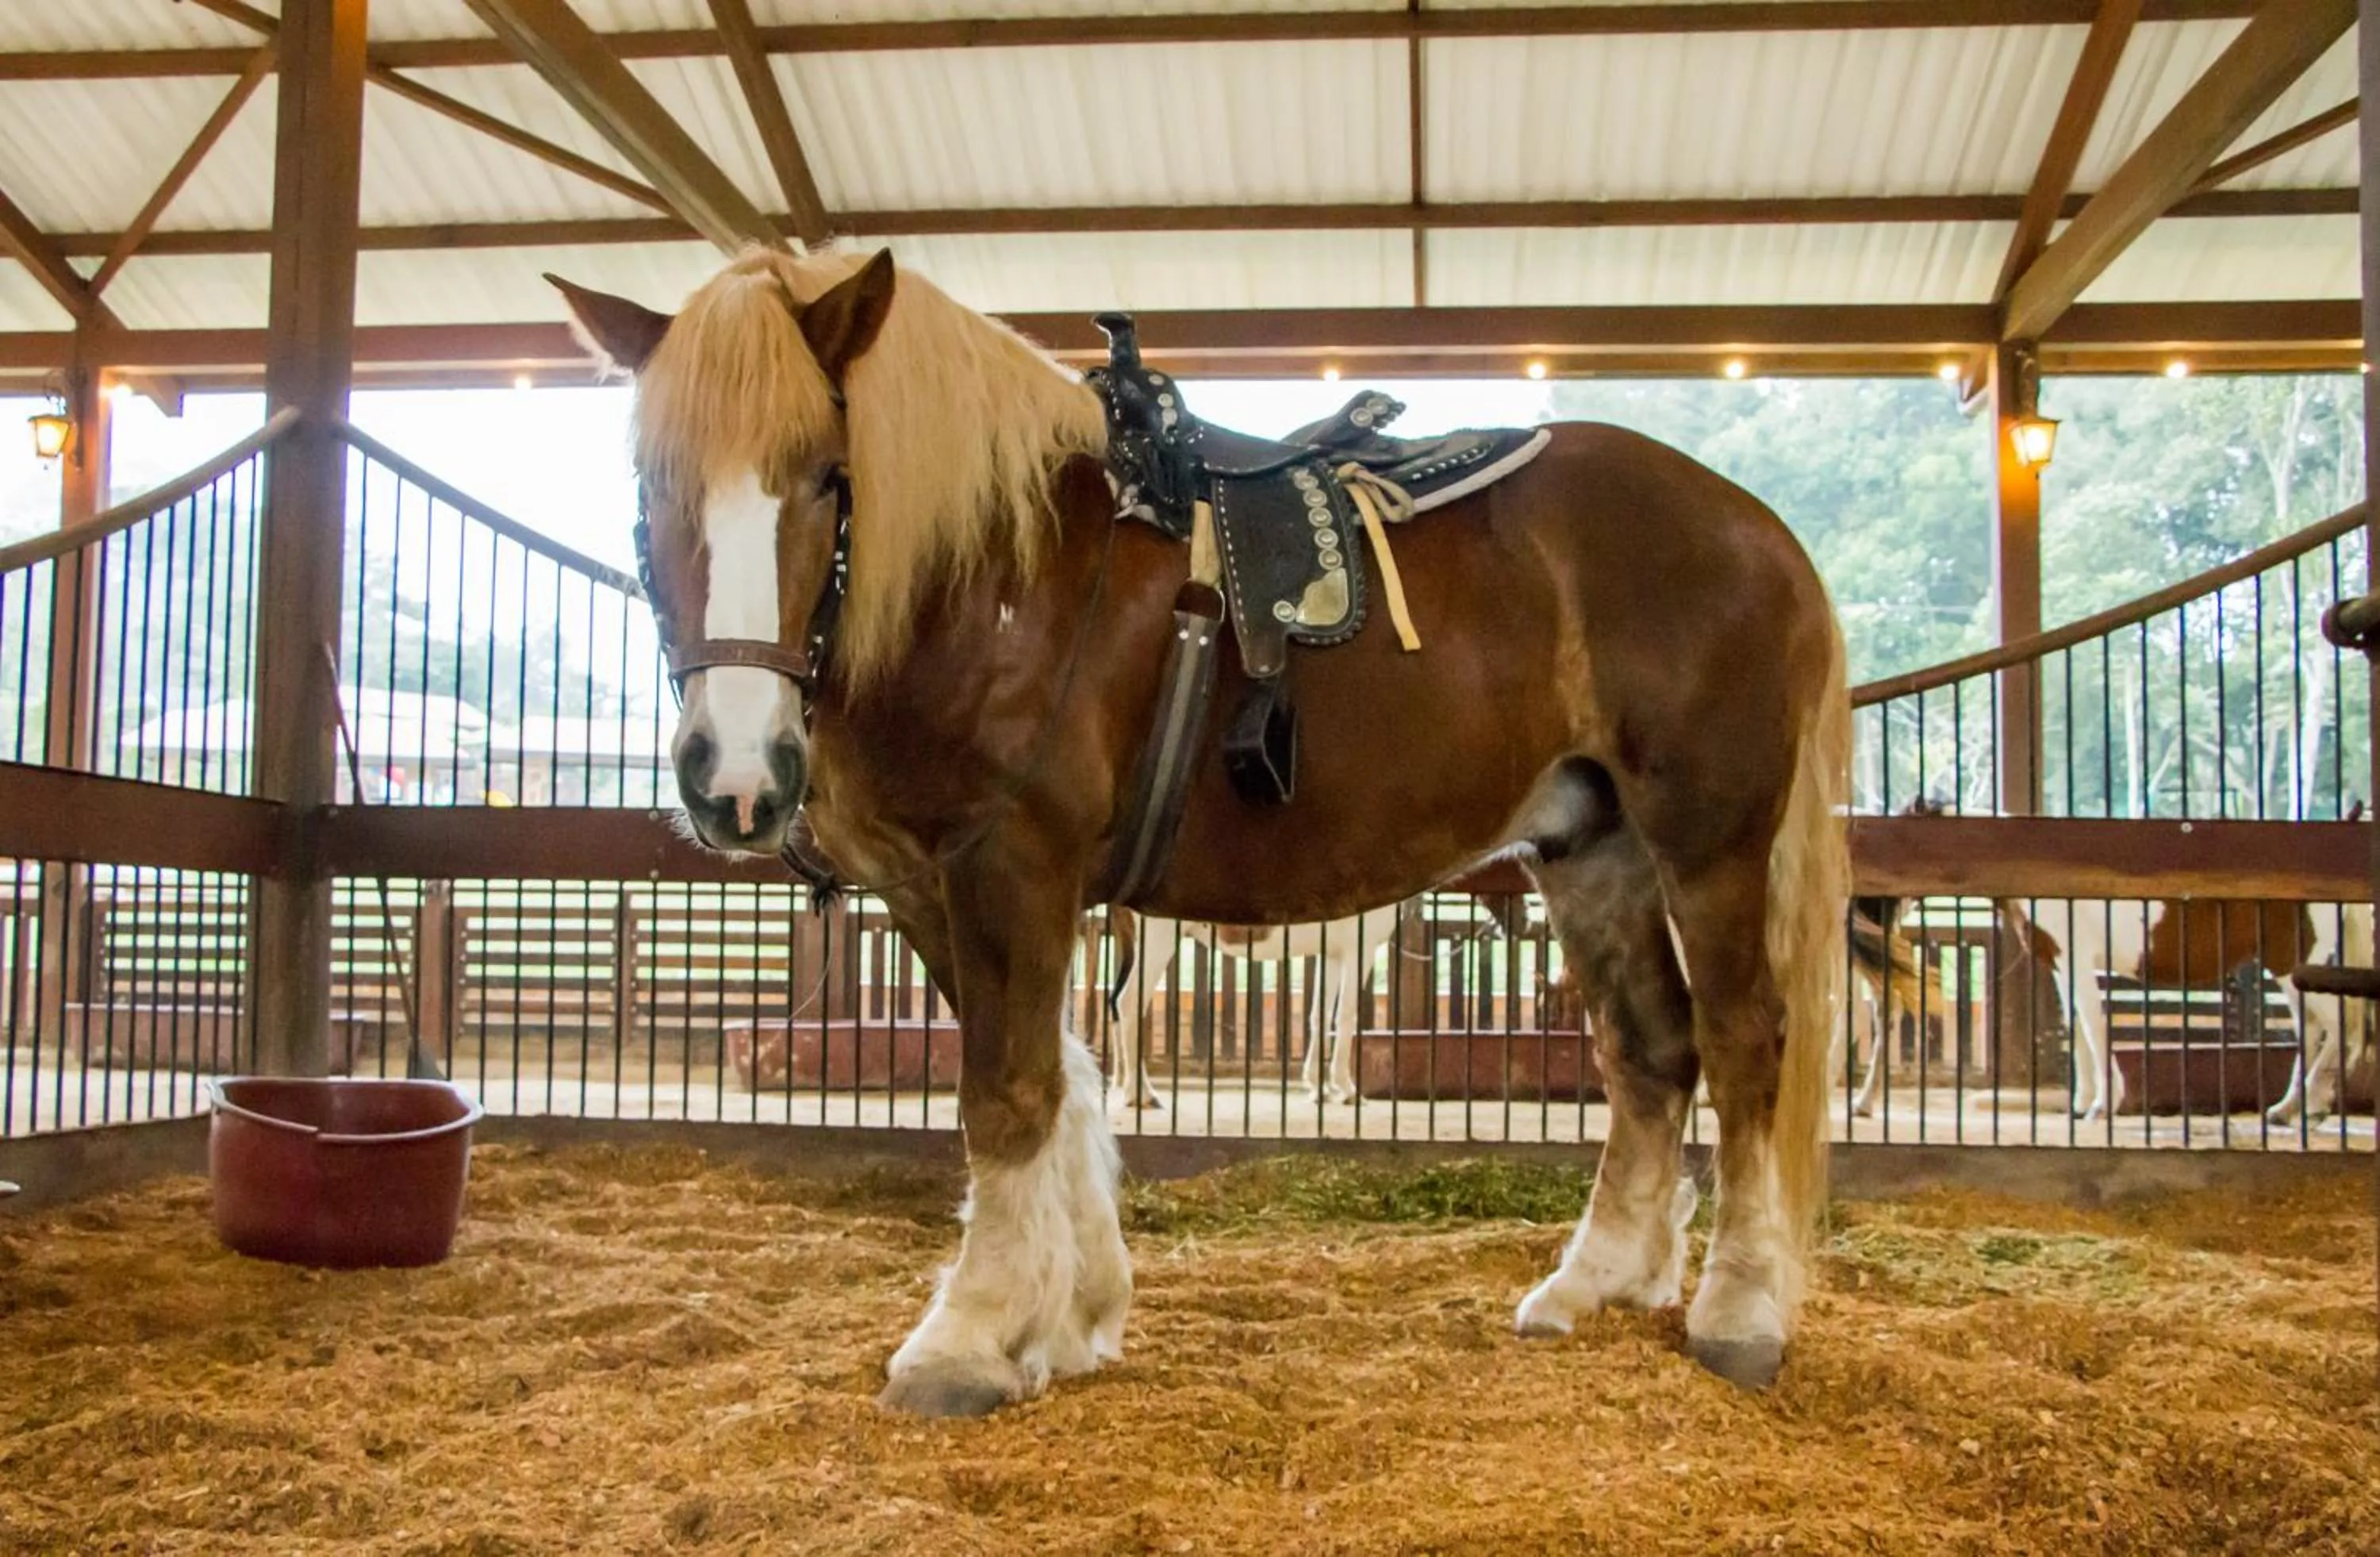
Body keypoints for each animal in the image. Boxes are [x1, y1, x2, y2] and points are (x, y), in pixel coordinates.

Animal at [1096, 904, 1405, 1107]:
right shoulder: (1358, 949)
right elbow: (1346, 1017)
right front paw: (1347, 1089)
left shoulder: (1332, 953)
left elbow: (1320, 1015)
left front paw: (1319, 1087)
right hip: (1157, 939)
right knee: (1129, 1003)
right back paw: (1143, 1094)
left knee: (1115, 1002)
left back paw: (1126, 1087)